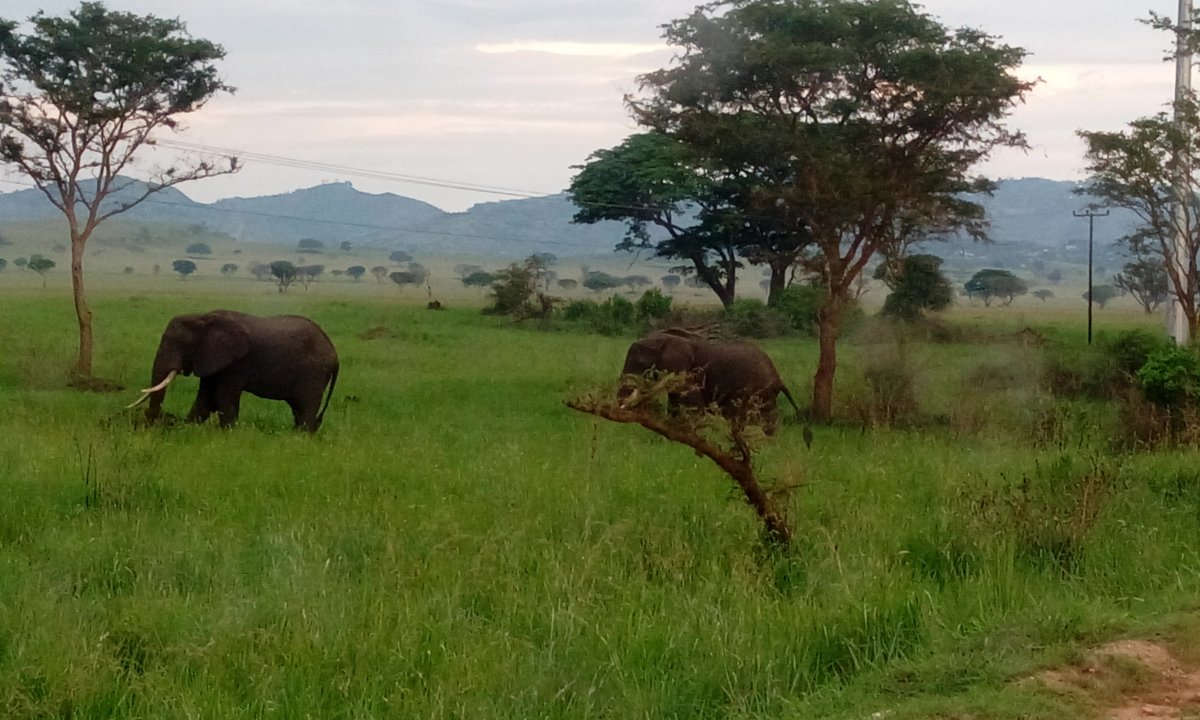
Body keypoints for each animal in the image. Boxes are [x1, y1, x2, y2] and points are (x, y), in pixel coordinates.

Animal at [128, 310, 339, 432]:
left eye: (179, 345)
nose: (153, 423)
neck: (203, 317)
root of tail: (334, 354)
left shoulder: (236, 364)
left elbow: (223, 398)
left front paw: (227, 434)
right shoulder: (212, 359)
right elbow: (205, 399)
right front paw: (187, 428)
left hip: (314, 372)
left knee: (306, 407)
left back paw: (300, 437)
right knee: (298, 407)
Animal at [617, 330, 801, 434]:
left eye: (641, 363)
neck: (667, 339)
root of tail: (777, 377)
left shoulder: (689, 374)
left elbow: (694, 409)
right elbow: (674, 406)